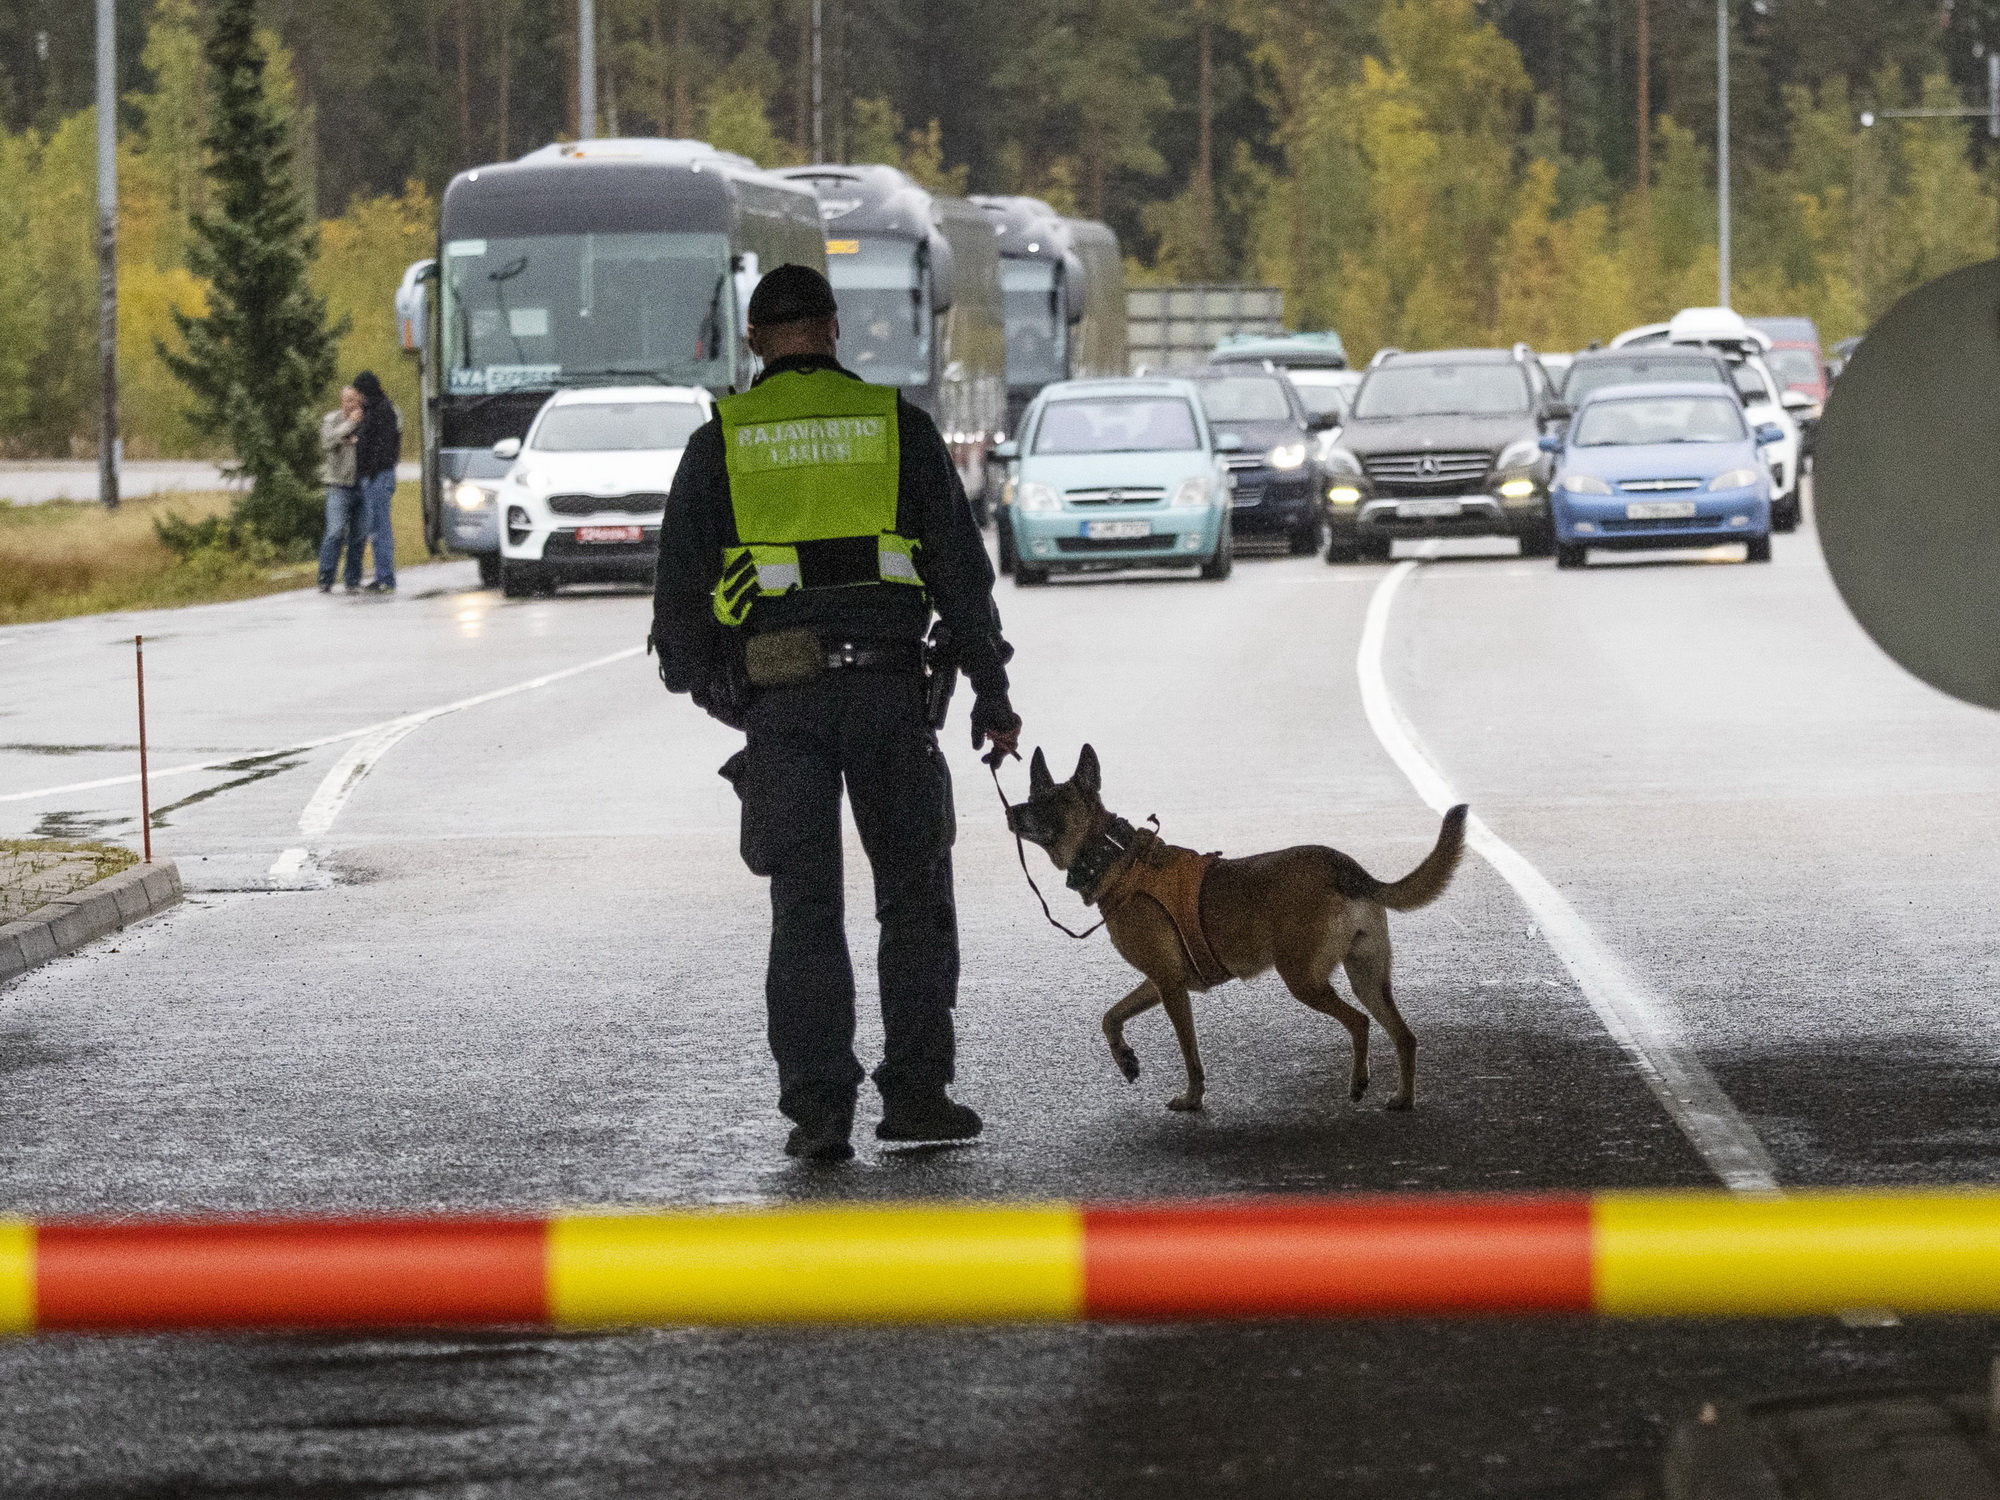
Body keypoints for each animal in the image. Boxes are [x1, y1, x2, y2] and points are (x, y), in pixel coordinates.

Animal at [1008, 748, 1464, 1120]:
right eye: (1032, 793)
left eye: (1050, 802)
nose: (1012, 811)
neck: (1115, 855)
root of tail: (1344, 866)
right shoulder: (1159, 981)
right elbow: (1110, 1017)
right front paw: (1125, 1059)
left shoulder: (1170, 987)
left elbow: (1189, 1053)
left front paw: (1193, 1099)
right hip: (1368, 978)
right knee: (1404, 1036)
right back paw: (1403, 1098)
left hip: (1304, 980)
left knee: (1360, 1022)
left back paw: (1359, 1082)